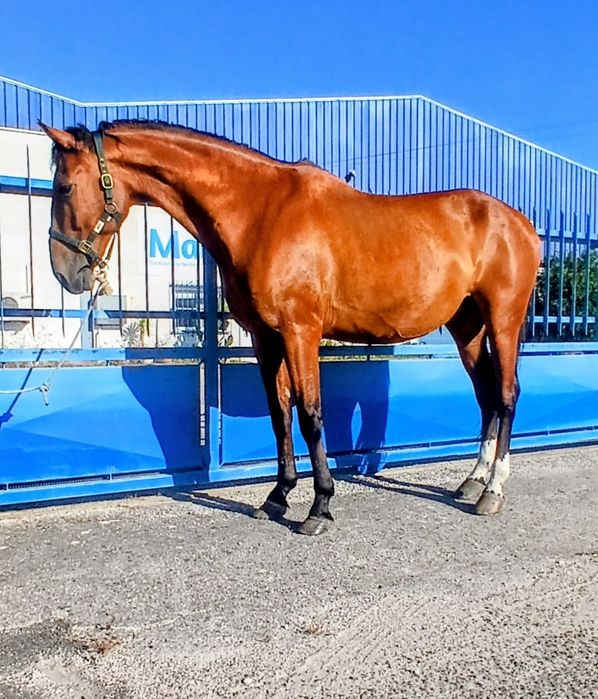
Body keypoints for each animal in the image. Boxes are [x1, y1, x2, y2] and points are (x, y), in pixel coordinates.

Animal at [41, 120, 541, 536]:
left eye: (64, 187)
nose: (64, 273)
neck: (261, 211)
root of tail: (523, 224)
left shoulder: (301, 331)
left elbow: (310, 413)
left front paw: (319, 507)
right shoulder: (266, 338)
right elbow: (280, 413)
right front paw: (277, 497)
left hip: (503, 320)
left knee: (506, 395)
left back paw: (492, 490)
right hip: (467, 326)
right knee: (486, 395)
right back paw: (472, 481)